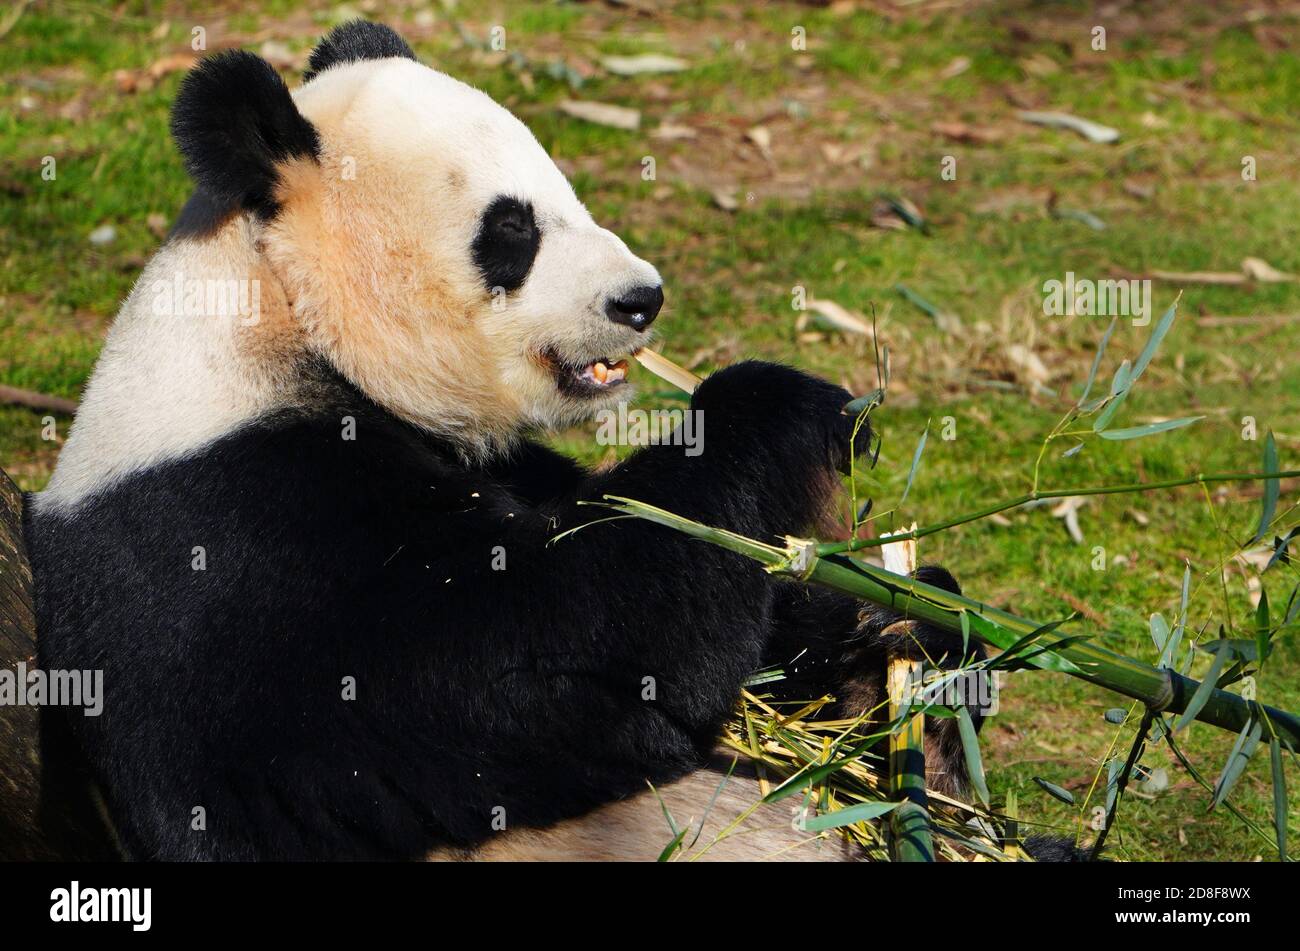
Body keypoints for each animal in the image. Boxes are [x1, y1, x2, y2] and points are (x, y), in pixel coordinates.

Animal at [22, 20, 982, 862]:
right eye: (512, 231)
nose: (641, 299)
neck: (280, 312)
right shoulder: (236, 543)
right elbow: (534, 657)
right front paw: (789, 408)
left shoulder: (490, 459)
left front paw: (905, 625)